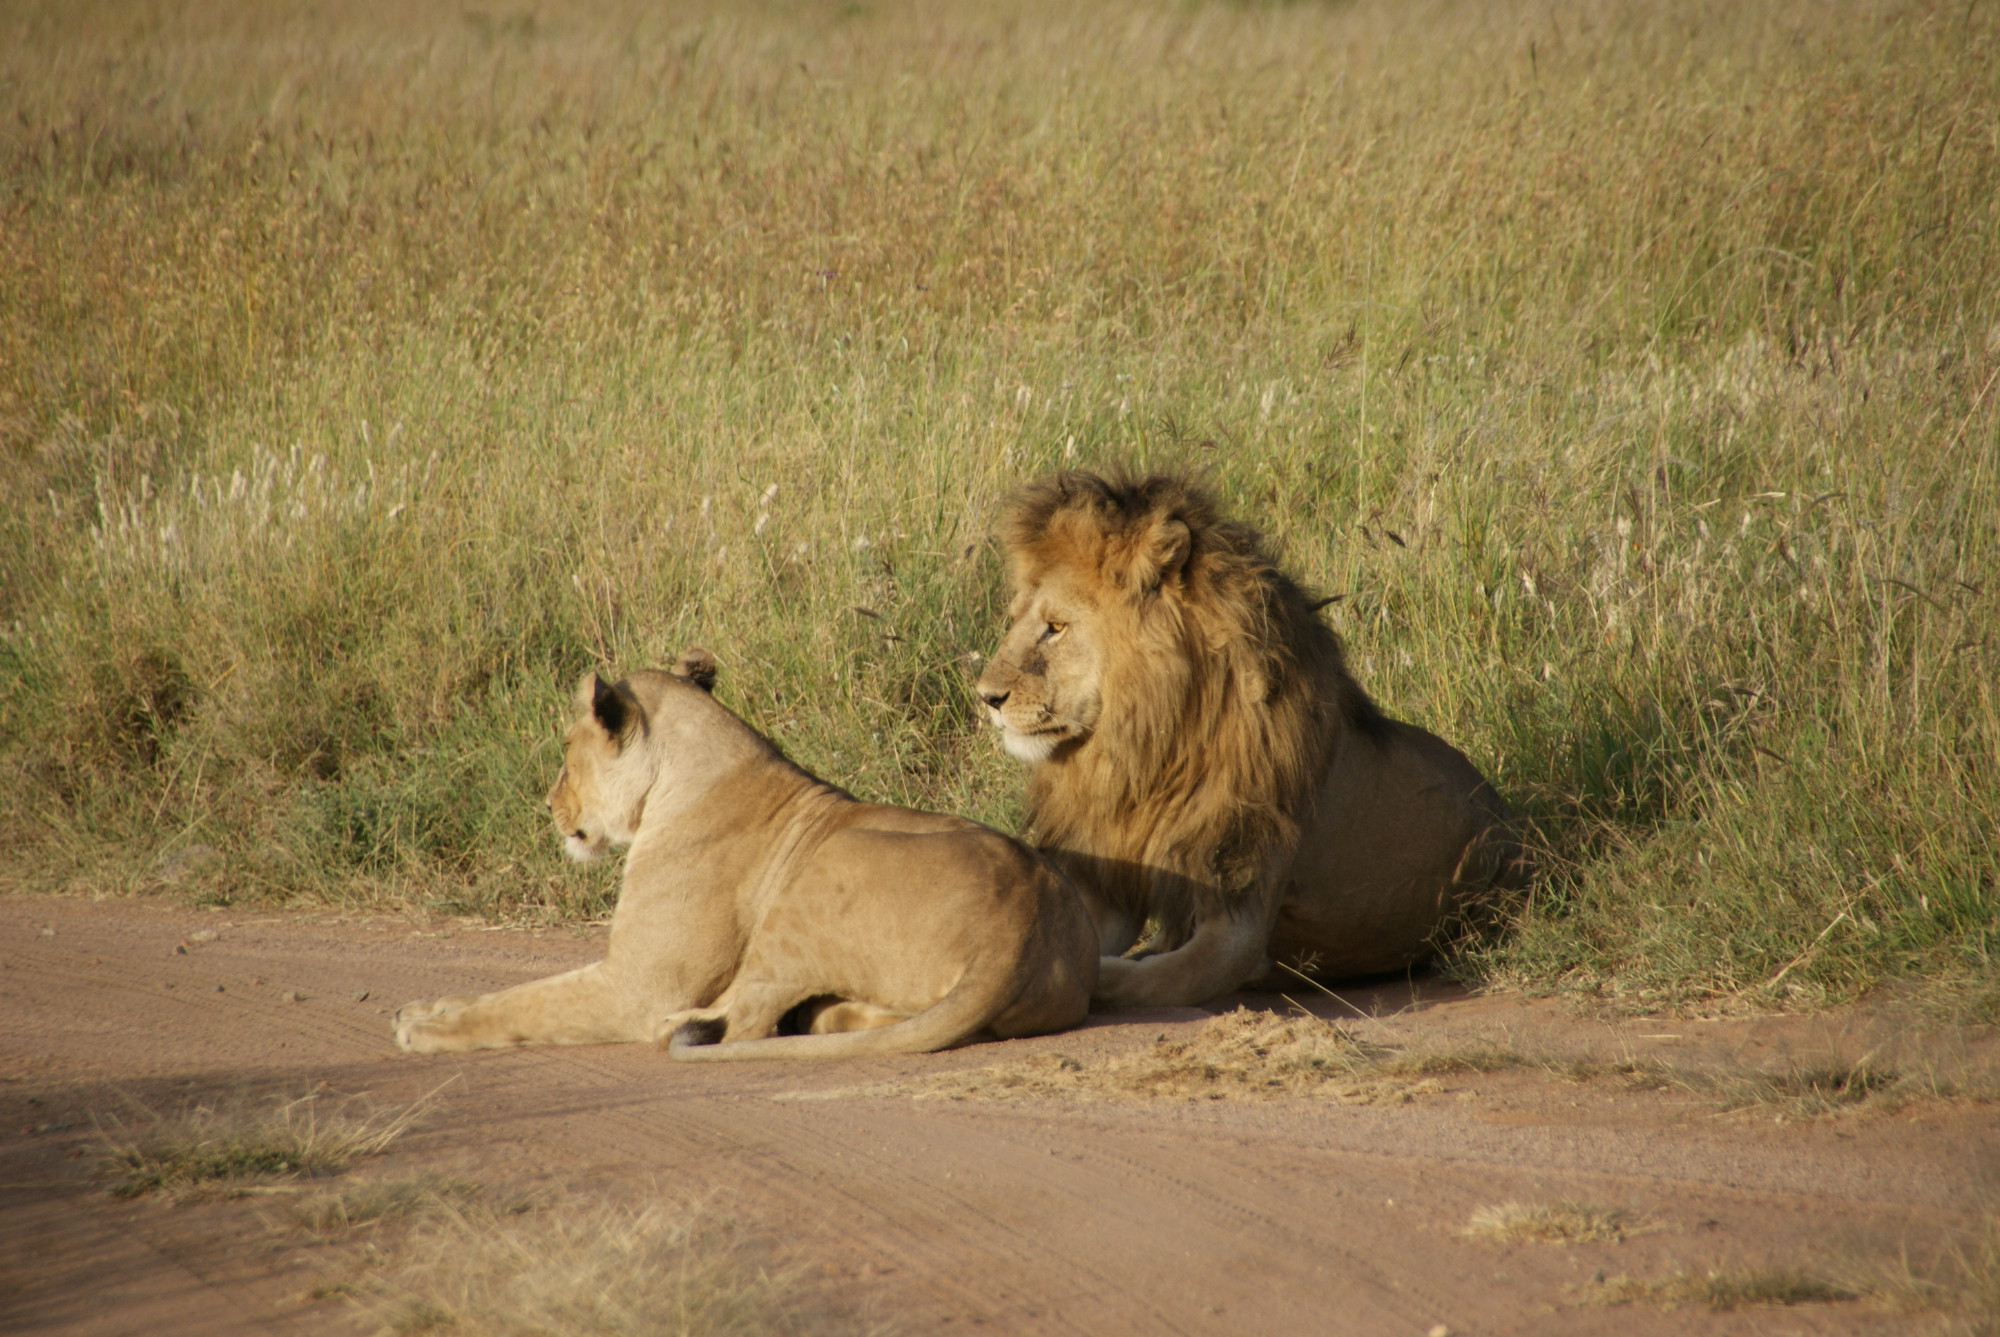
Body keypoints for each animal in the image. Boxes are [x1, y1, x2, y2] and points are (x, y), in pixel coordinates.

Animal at [392, 652, 1104, 1056]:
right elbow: (518, 991)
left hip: (823, 871)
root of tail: (1022, 927)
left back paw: (703, 1029)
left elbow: (526, 1006)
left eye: (567, 753)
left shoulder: (639, 986)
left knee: (746, 1022)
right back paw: (825, 1016)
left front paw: (425, 1031)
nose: (549, 806)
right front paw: (425, 1007)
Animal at [976, 470, 1520, 1000]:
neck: (1146, 756)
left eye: (1055, 627)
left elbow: (1137, 979)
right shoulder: (1111, 885)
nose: (986, 697)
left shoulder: (1239, 921)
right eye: (1016, 620)